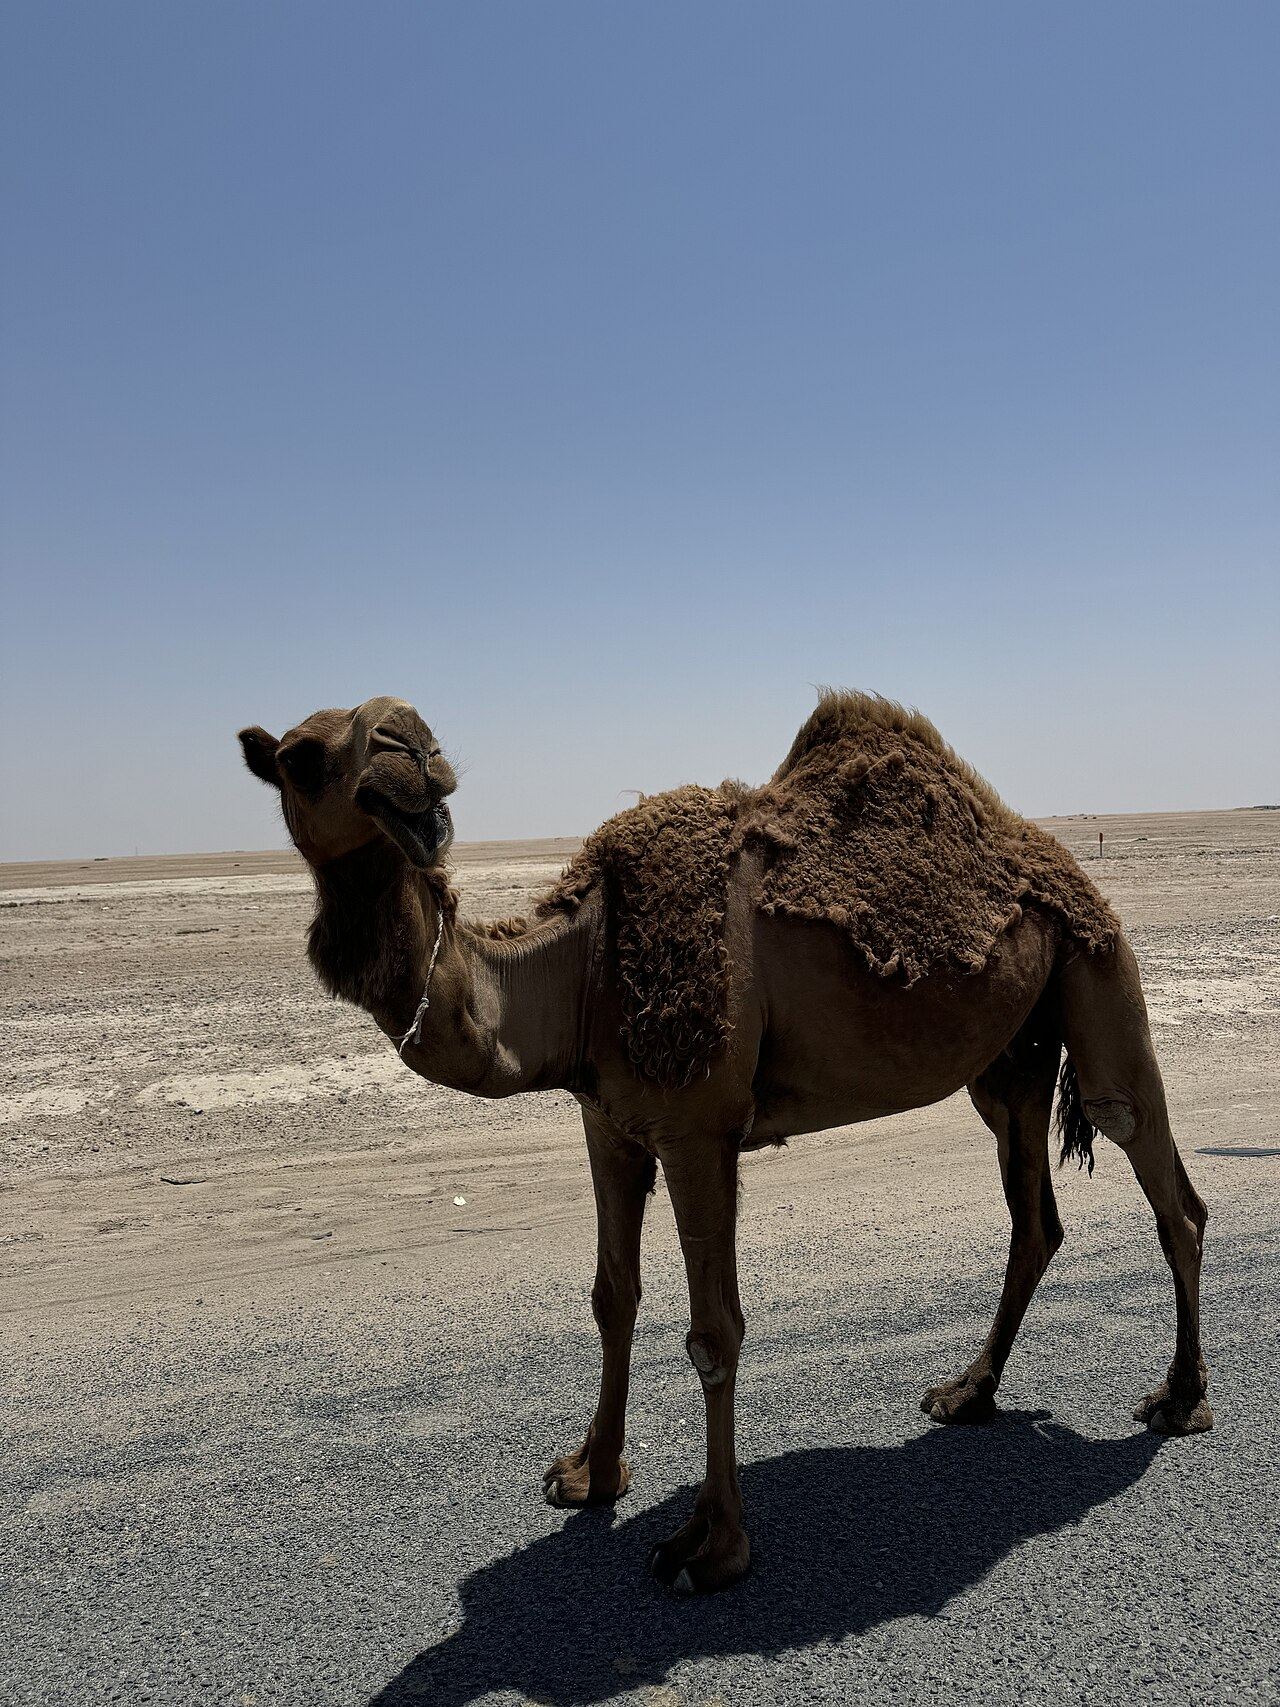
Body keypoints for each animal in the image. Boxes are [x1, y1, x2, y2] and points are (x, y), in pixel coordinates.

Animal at [238, 692, 1212, 1596]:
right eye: (298, 759)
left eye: (403, 736)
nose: (410, 753)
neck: (581, 967)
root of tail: (1055, 859)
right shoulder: (609, 1123)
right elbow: (613, 1298)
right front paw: (590, 1474)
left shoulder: (698, 1127)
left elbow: (715, 1331)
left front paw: (710, 1546)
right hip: (1010, 1057)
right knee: (1035, 1217)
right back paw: (968, 1393)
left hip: (1099, 970)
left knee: (1167, 1185)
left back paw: (1181, 1399)